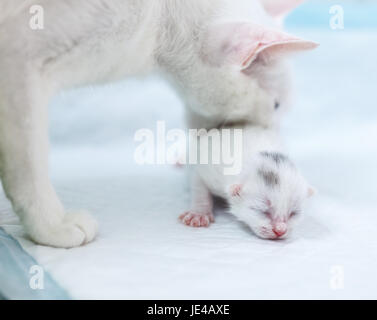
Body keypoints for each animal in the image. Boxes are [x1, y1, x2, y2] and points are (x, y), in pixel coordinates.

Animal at [180, 125, 314, 240]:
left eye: (294, 213)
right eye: (262, 211)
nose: (280, 230)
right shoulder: (208, 167)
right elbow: (198, 182)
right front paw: (198, 213)